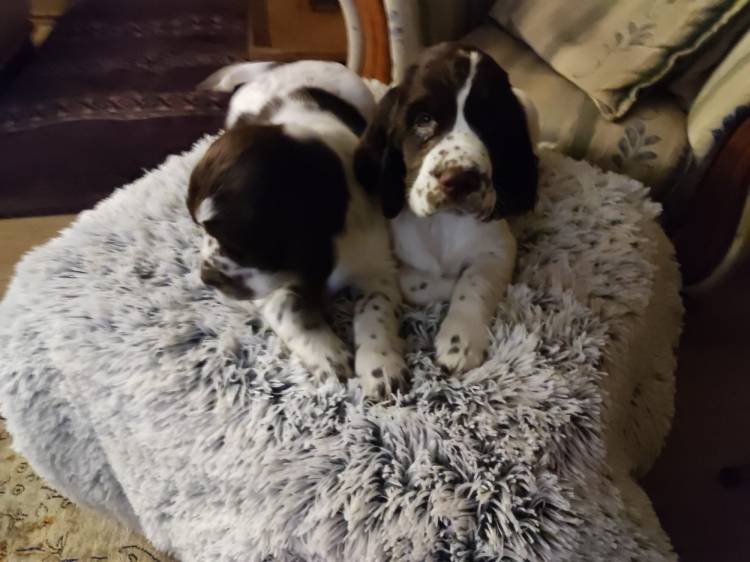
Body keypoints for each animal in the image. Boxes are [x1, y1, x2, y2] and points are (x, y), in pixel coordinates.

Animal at [188, 61, 408, 400]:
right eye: (200, 228)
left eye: (238, 244)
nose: (206, 278)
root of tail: (281, 65)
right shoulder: (275, 282)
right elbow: (290, 310)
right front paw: (328, 354)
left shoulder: (376, 265)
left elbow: (376, 308)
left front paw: (381, 365)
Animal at [355, 43, 539, 373]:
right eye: (423, 119)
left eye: (490, 122)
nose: (461, 179)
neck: (441, 223)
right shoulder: (385, 257)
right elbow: (396, 290)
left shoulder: (497, 248)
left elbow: (475, 280)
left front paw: (459, 341)